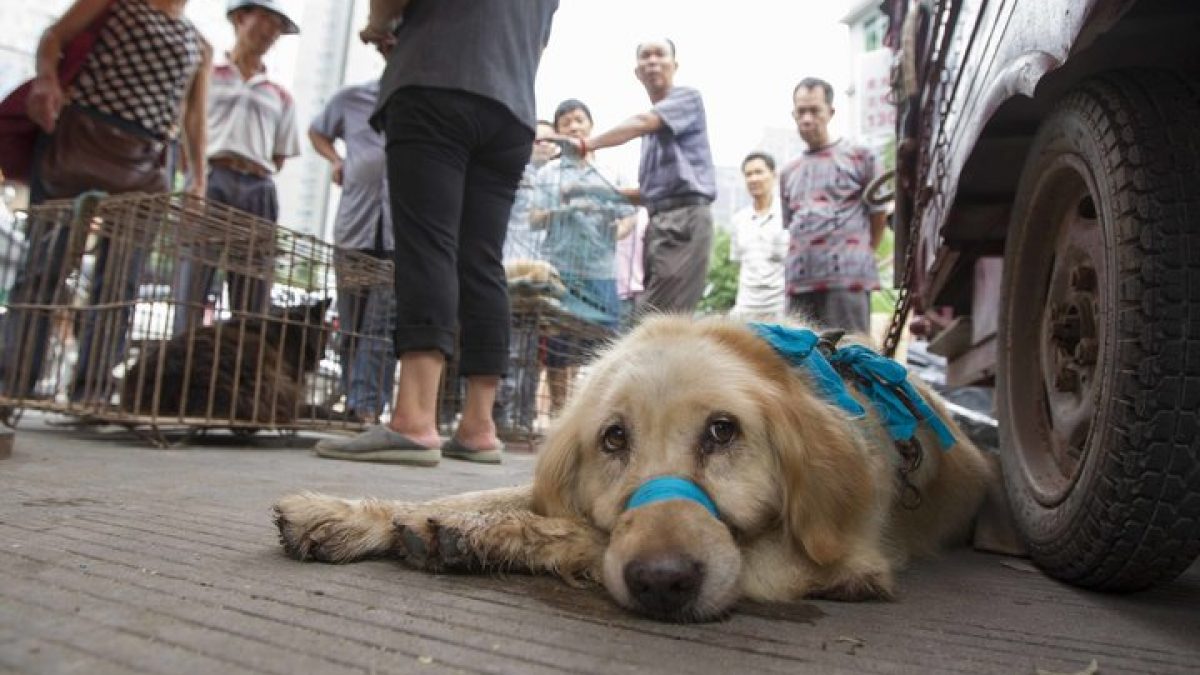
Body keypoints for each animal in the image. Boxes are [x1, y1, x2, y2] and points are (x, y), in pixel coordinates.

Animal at [272, 314, 993, 619]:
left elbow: (586, 533)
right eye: (613, 438)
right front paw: (352, 514)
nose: (661, 582)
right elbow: (487, 493)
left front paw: (477, 534)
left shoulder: (842, 562)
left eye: (723, 431)